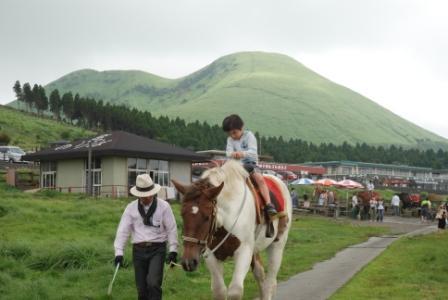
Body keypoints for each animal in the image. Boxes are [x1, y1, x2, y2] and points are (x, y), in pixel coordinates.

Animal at [170, 161, 292, 300]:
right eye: (182, 215)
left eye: (207, 217)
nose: (188, 262)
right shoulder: (211, 254)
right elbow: (219, 291)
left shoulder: (244, 251)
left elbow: (235, 291)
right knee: (260, 274)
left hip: (277, 246)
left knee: (270, 282)